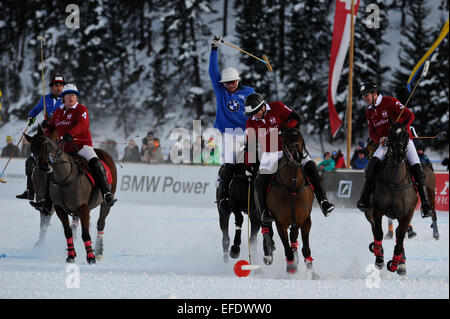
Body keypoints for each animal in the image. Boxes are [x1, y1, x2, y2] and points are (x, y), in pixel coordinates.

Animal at [24, 127, 117, 264]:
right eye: (32, 149)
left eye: (45, 143)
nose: (44, 166)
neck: (64, 178)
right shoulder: (59, 209)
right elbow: (68, 232)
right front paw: (71, 255)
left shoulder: (83, 207)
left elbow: (86, 233)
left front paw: (91, 257)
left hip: (105, 203)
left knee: (101, 223)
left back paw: (99, 252)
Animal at [264, 128, 316, 278]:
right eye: (286, 140)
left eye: (301, 138)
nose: (297, 156)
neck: (292, 184)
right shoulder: (280, 223)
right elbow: (286, 249)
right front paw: (291, 268)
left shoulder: (305, 220)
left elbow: (306, 248)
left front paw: (312, 273)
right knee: (266, 230)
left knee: (293, 236)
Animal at [364, 121, 416, 276]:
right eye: (390, 135)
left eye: (405, 135)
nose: (399, 155)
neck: (395, 181)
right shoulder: (376, 210)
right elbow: (378, 233)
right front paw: (379, 259)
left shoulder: (407, 214)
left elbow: (400, 238)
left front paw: (395, 264)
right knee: (377, 232)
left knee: (399, 235)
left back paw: (400, 264)